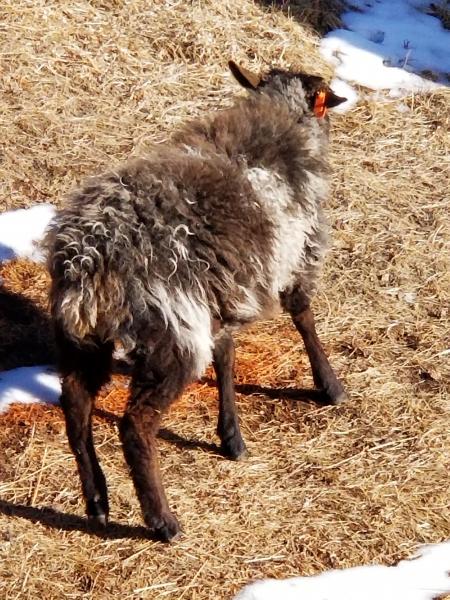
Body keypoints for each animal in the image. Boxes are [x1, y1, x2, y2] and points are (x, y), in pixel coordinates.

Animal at [44, 62, 348, 544]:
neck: (282, 120)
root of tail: (89, 258)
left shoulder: (224, 296)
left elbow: (226, 356)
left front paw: (231, 437)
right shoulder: (298, 256)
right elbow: (304, 317)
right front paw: (330, 386)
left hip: (82, 335)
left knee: (75, 404)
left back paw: (97, 502)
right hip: (171, 334)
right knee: (136, 424)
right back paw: (163, 521)